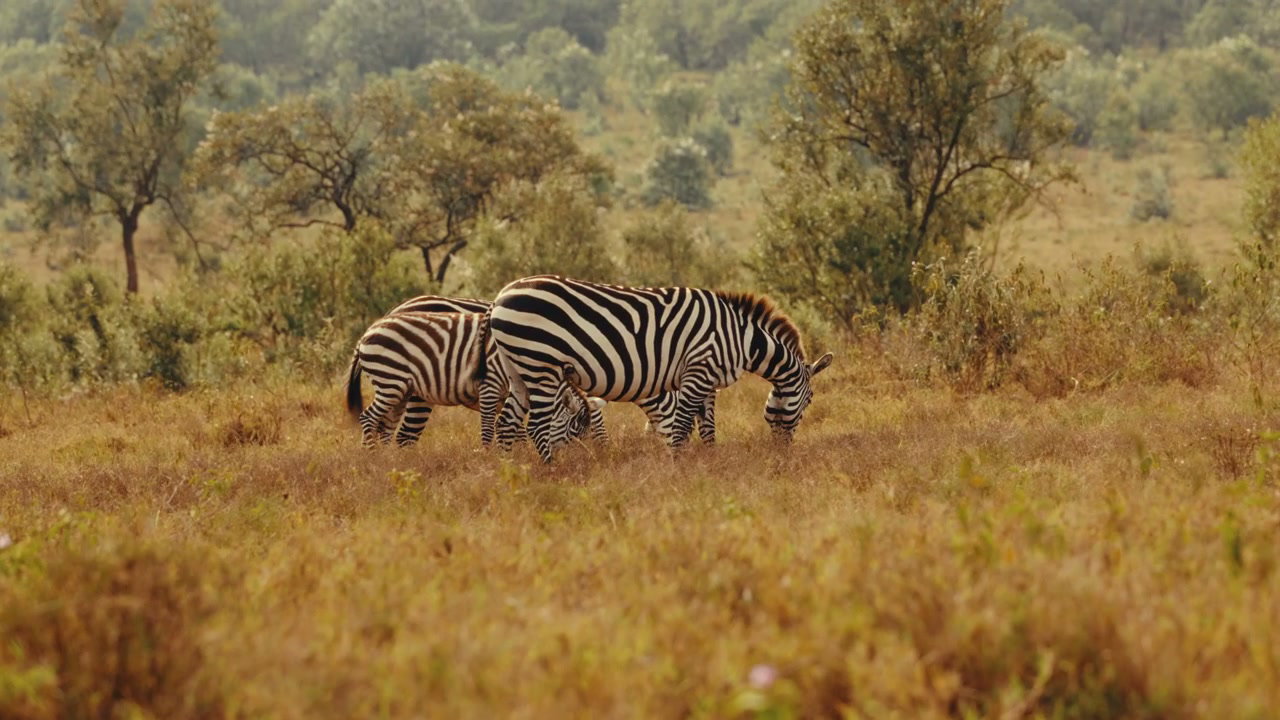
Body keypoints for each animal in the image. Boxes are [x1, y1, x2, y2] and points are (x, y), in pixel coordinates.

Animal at [344, 311, 600, 450]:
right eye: (575, 432)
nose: (577, 463)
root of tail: (366, 334)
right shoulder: (491, 385)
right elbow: (489, 428)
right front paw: (488, 457)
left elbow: (513, 428)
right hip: (390, 382)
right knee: (369, 418)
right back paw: (370, 457)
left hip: (400, 389)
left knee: (385, 427)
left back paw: (387, 461)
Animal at [488, 275, 833, 462]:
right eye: (810, 401)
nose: (783, 452)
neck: (741, 338)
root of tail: (501, 295)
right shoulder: (698, 370)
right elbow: (680, 427)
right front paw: (678, 468)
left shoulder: (708, 380)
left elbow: (706, 429)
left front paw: (710, 462)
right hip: (540, 365)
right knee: (536, 427)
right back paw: (551, 472)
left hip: (518, 369)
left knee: (506, 423)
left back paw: (511, 470)